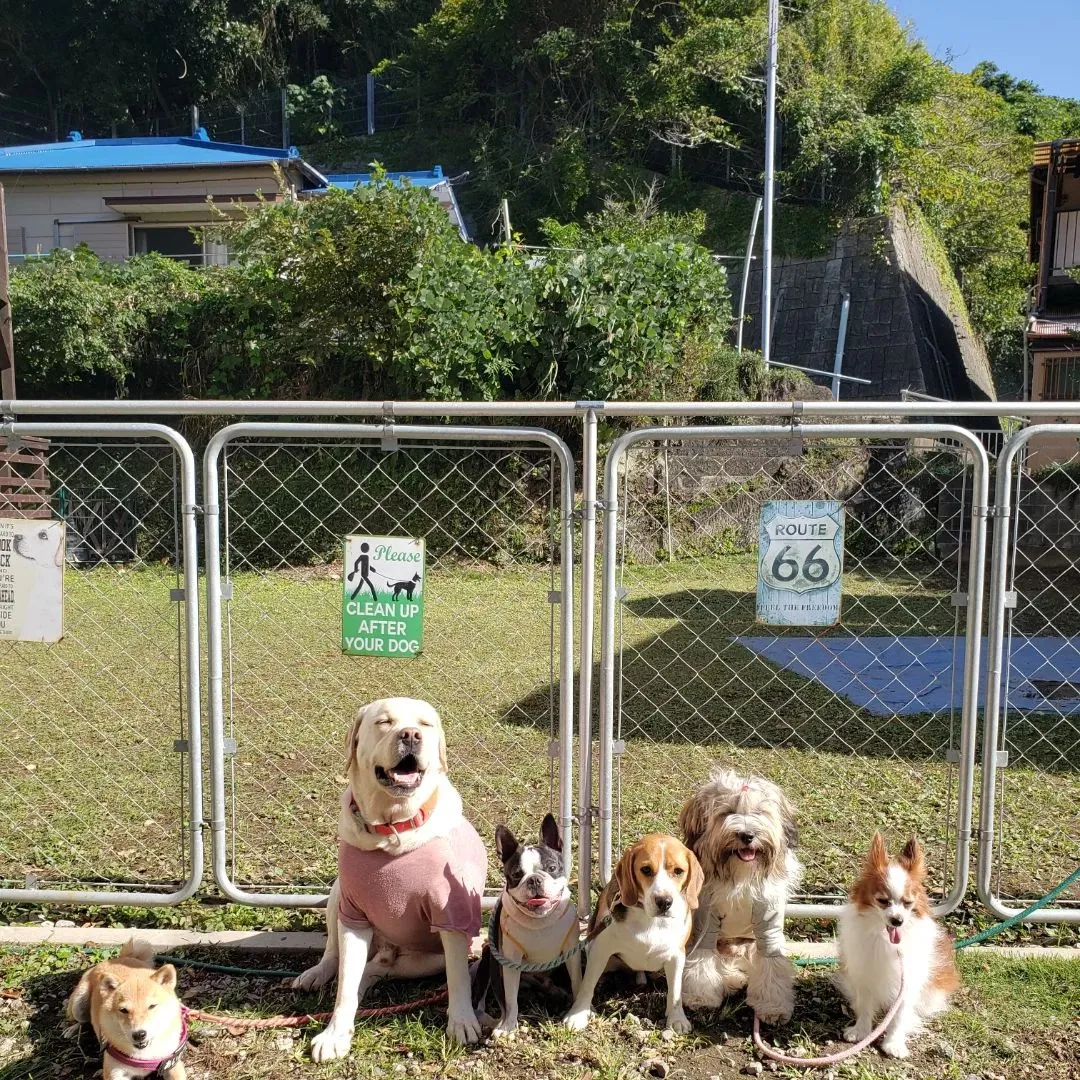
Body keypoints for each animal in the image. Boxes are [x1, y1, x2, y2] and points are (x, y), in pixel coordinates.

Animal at [291, 695, 486, 1058]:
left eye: (425, 724)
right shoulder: (353, 914)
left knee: (378, 968)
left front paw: (462, 1022)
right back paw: (317, 974)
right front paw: (335, 1034)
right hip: (338, 895)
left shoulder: (450, 915)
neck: (392, 828)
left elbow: (458, 979)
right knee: (338, 959)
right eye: (384, 722)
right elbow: (345, 983)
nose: (410, 735)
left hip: (424, 959)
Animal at [479, 812, 583, 1032]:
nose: (534, 879)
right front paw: (508, 1026)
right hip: (487, 956)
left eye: (552, 868)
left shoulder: (572, 952)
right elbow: (509, 999)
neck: (540, 921)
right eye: (517, 874)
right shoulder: (509, 960)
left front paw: (580, 1011)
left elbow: (578, 981)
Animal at [561, 829, 704, 1032]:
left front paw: (677, 1018)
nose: (664, 902)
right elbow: (587, 984)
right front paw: (578, 1015)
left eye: (678, 871)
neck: (651, 920)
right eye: (646, 870)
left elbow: (675, 991)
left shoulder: (677, 955)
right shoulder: (601, 949)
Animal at [838, 829, 959, 1058]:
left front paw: (894, 1043)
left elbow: (900, 1016)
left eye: (908, 903)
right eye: (882, 901)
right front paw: (861, 1031)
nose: (897, 920)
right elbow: (865, 1006)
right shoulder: (865, 974)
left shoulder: (908, 981)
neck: (886, 940)